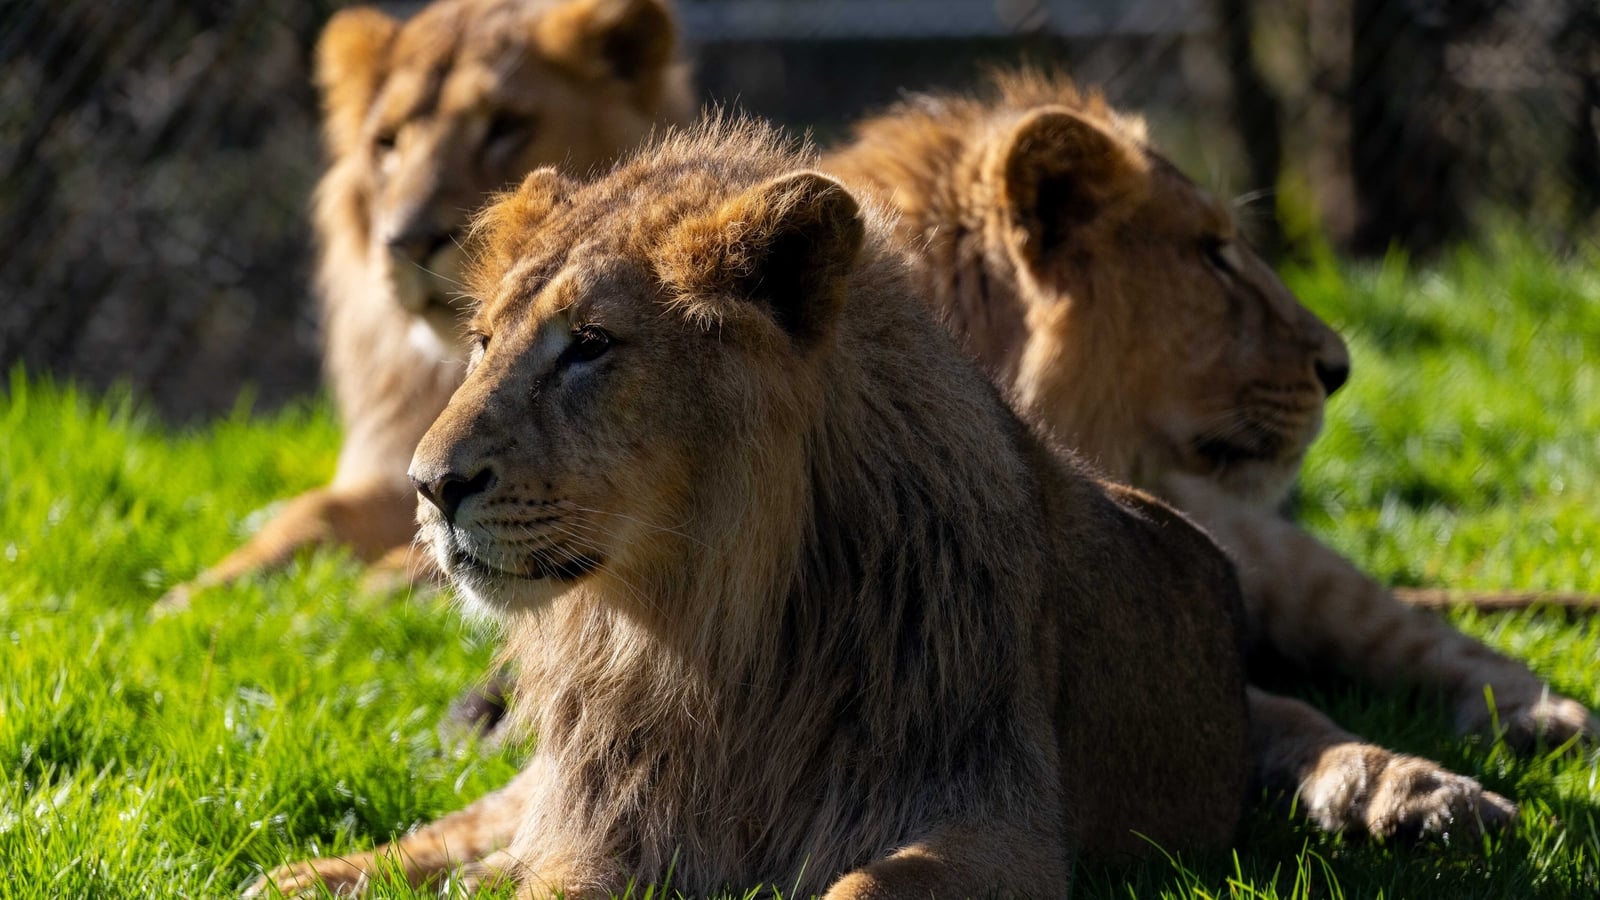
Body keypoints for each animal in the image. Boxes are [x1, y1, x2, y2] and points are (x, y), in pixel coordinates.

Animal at [159, 0, 693, 610]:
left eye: (505, 125)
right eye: (387, 143)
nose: (408, 242)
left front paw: (372, 590)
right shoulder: (397, 469)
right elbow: (312, 511)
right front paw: (188, 599)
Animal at [248, 116, 1254, 898]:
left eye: (591, 345)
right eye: (486, 341)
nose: (429, 486)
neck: (705, 641)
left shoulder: (1000, 818)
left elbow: (862, 885)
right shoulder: (602, 829)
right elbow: (530, 871)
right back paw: (295, 877)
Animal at [825, 69, 1592, 836]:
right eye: (1212, 255)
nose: (1340, 369)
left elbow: (1292, 710)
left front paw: (1415, 787)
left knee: (1424, 637)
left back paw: (1539, 718)